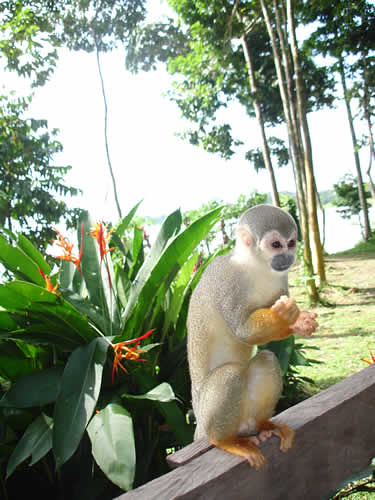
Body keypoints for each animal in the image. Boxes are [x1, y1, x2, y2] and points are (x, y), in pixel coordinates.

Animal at [188, 203, 318, 468]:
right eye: (276, 244)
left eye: (291, 243)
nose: (288, 257)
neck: (255, 266)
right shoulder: (227, 281)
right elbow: (243, 331)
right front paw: (283, 315)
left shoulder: (280, 276)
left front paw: (300, 323)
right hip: (205, 414)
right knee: (230, 374)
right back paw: (224, 441)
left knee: (267, 360)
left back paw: (264, 426)